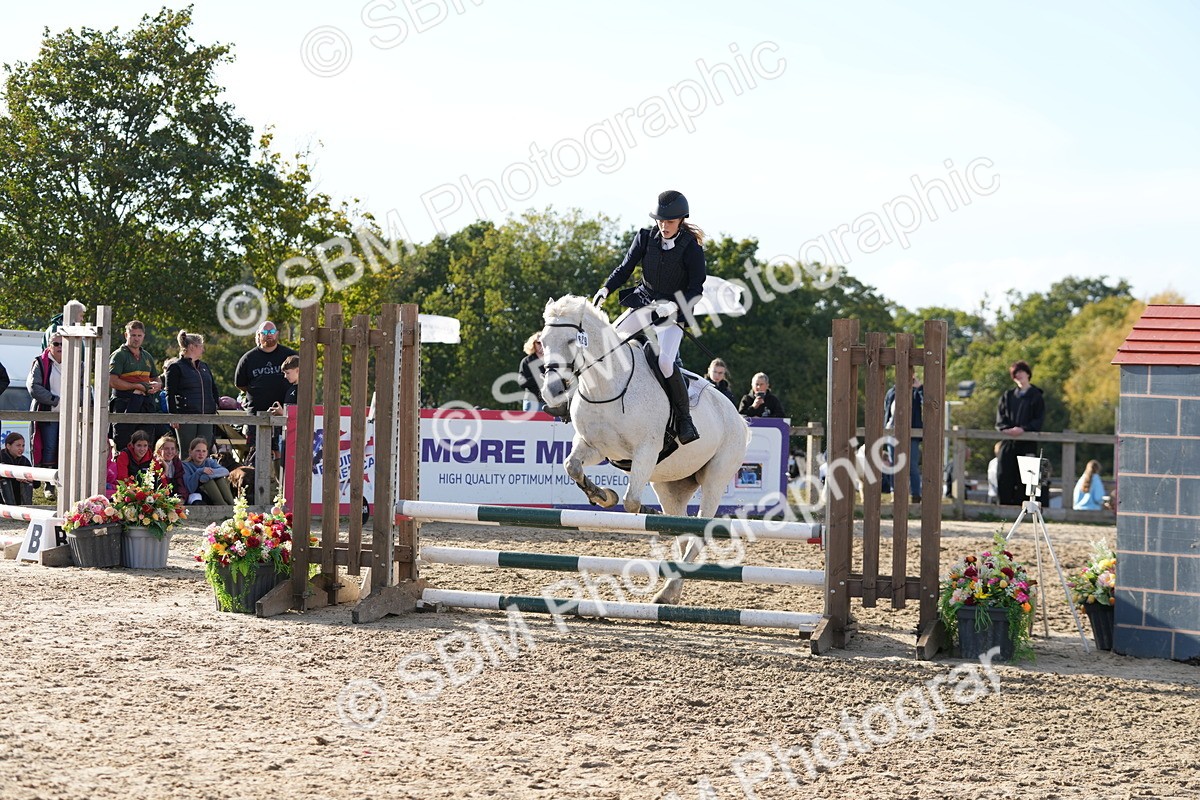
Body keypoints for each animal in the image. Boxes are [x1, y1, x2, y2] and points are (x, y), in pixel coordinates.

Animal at [539, 295, 750, 603]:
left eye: (569, 340)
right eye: (542, 341)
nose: (552, 391)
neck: (606, 384)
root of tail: (738, 417)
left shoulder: (646, 451)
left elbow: (631, 502)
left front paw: (627, 503)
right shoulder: (593, 445)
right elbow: (572, 466)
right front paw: (603, 496)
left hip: (715, 477)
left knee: (699, 531)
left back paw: (667, 590)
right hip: (671, 485)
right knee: (683, 530)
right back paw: (671, 591)